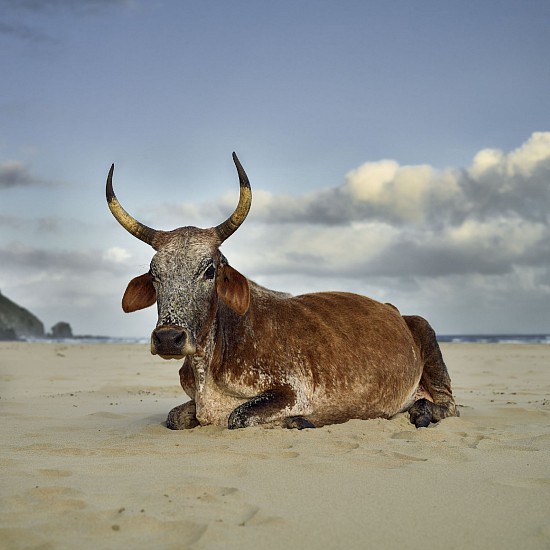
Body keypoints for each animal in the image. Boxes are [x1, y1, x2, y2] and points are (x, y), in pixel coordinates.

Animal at [105, 154, 460, 432]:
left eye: (210, 270)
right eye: (155, 275)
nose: (168, 338)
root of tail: (396, 310)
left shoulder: (292, 391)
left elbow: (237, 417)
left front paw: (301, 421)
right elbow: (174, 417)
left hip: (427, 334)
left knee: (448, 405)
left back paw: (422, 412)